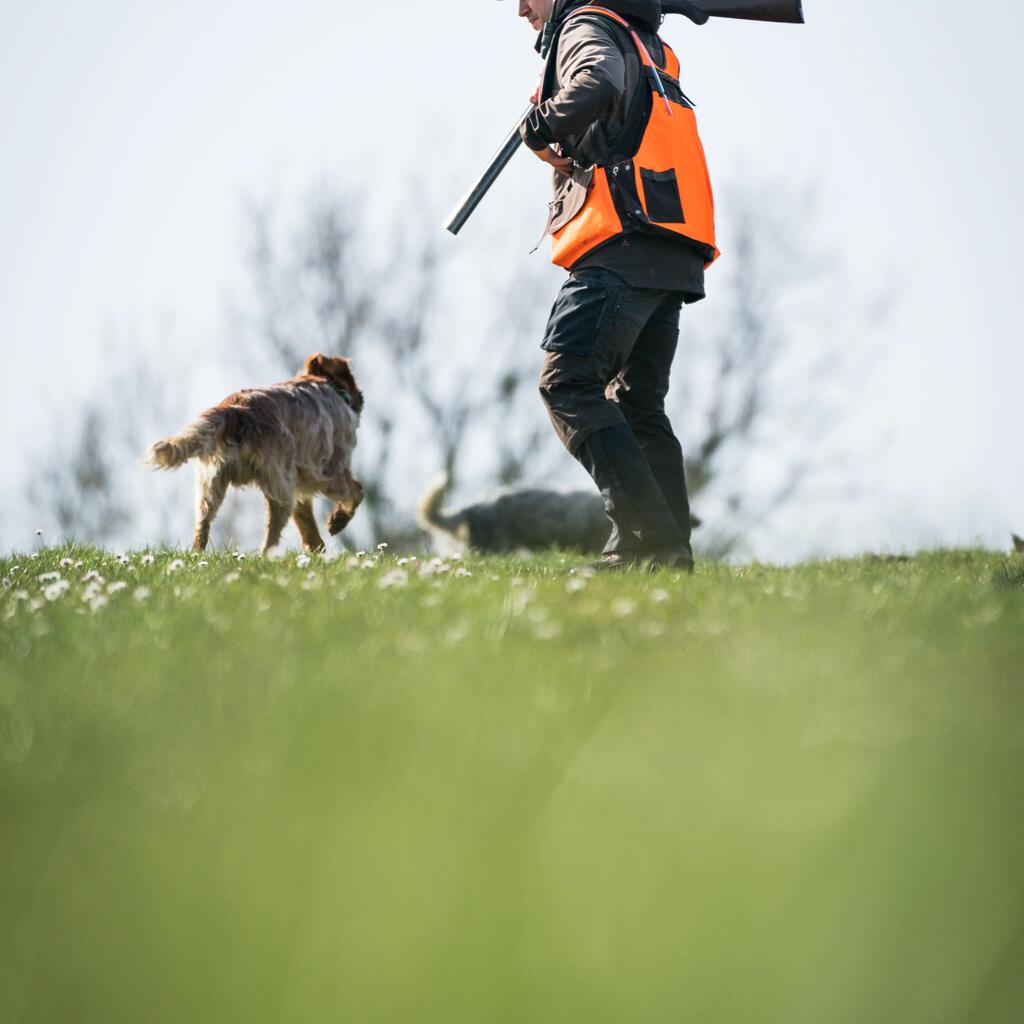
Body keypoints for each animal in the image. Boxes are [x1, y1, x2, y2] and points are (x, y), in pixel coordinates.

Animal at [146, 356, 364, 557]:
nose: (361, 398)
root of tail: (235, 410)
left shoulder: (299, 483)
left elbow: (306, 520)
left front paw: (316, 546)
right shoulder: (329, 470)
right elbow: (356, 492)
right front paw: (337, 521)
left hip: (211, 484)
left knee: (203, 523)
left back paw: (197, 556)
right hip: (281, 483)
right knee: (273, 529)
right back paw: (269, 556)